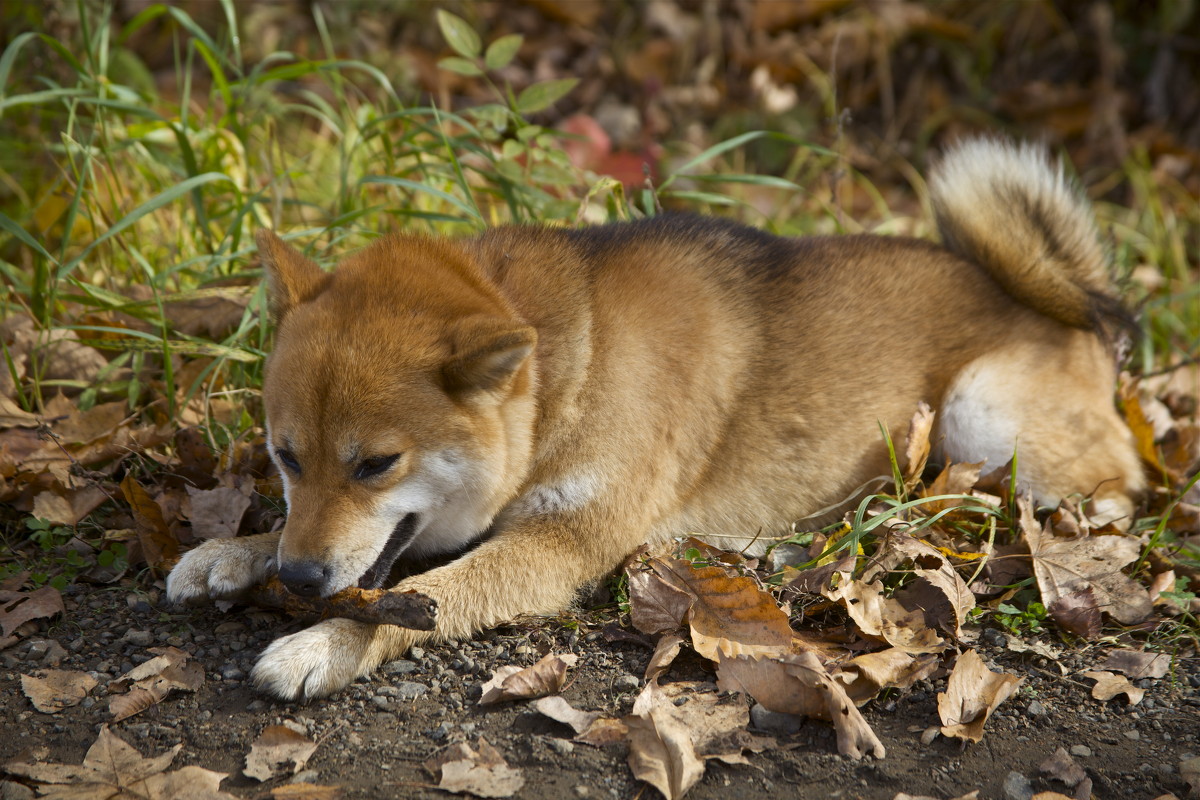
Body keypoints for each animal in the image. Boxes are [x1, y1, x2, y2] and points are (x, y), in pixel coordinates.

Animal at [166, 139, 1142, 700]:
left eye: (376, 465)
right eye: (285, 458)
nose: (298, 581)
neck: (567, 374)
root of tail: (1075, 316)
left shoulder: (558, 545)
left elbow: (417, 603)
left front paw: (317, 647)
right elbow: (333, 553)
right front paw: (234, 553)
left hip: (981, 415)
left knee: (1112, 493)